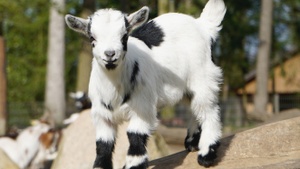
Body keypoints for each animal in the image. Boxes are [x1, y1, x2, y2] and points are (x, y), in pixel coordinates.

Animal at [65, 0, 225, 168]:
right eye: (92, 38)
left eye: (124, 36)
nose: (110, 54)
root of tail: (202, 25)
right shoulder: (102, 115)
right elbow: (103, 145)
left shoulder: (143, 106)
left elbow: (135, 135)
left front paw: (134, 163)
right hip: (187, 87)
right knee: (195, 108)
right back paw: (192, 142)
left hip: (202, 75)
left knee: (208, 110)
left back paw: (206, 154)